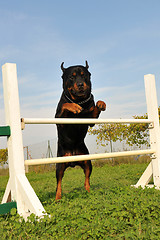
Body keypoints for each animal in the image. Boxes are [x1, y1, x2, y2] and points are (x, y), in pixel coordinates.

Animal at [55, 61, 106, 200]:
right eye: (71, 77)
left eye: (84, 76)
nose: (80, 84)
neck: (80, 100)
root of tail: (72, 159)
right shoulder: (59, 121)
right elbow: (65, 105)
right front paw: (74, 107)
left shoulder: (90, 120)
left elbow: (95, 108)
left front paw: (101, 103)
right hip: (59, 165)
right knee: (58, 183)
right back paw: (57, 198)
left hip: (87, 162)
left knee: (87, 179)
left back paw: (88, 191)